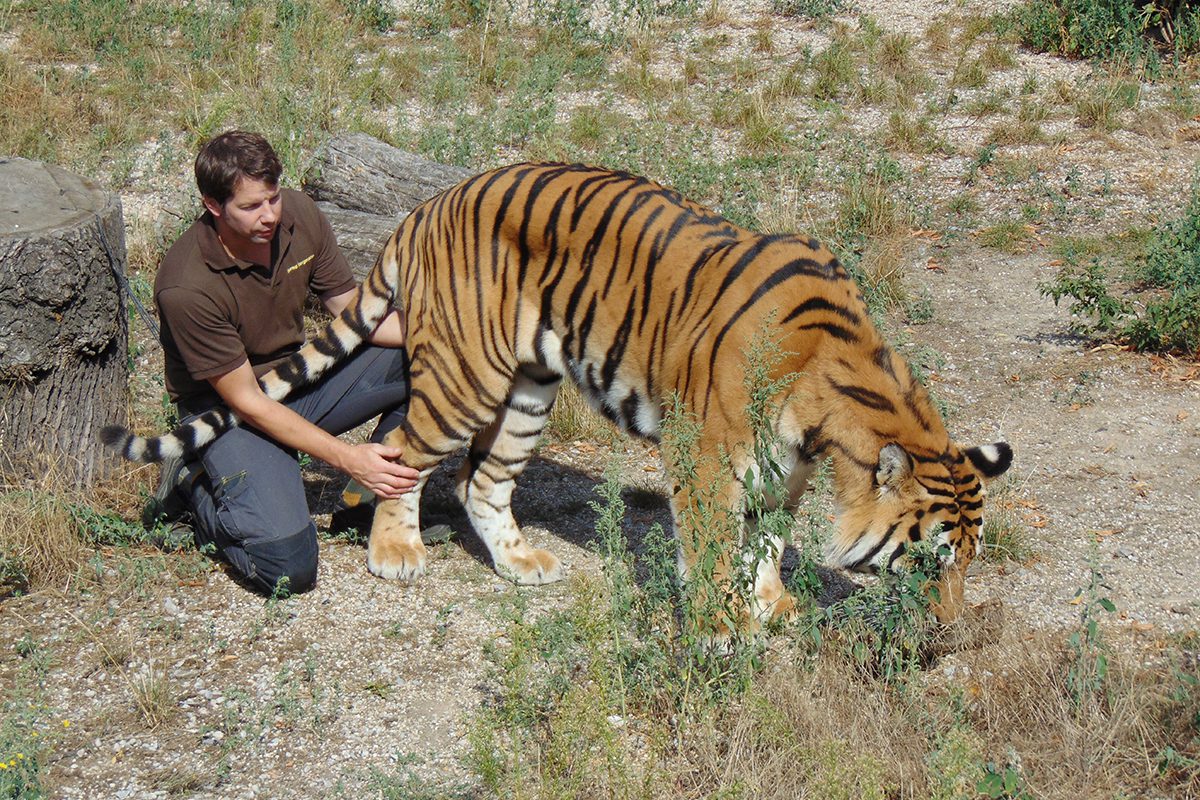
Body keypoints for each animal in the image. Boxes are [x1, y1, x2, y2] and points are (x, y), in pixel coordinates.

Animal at [103, 161, 1012, 629]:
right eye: (931, 561)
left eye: (969, 564)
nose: (951, 630)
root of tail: (426, 205)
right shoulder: (706, 460)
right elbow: (716, 549)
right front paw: (721, 630)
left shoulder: (781, 473)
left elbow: (765, 542)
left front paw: (772, 605)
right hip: (464, 378)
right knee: (400, 453)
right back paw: (396, 553)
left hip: (530, 389)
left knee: (482, 481)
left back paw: (520, 563)